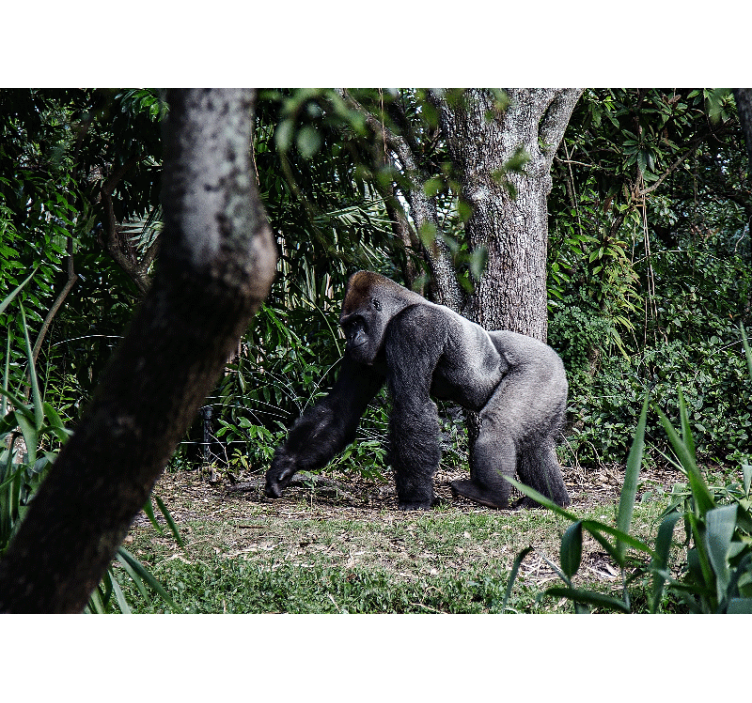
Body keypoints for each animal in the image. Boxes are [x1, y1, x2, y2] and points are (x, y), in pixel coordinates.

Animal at [265, 270, 570, 511]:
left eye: (357, 322)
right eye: (347, 326)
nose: (351, 338)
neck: (398, 309)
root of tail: (557, 360)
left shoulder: (415, 326)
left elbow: (410, 405)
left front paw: (416, 498)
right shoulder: (361, 355)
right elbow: (340, 408)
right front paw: (285, 466)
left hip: (541, 369)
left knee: (499, 425)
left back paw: (491, 494)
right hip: (552, 386)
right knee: (535, 443)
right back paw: (550, 499)